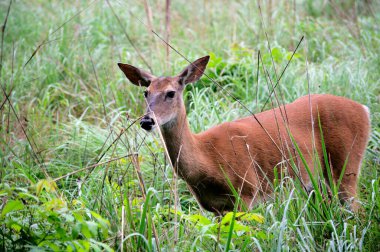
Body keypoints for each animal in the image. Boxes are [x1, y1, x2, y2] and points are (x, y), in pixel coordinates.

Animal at [117, 56, 370, 214]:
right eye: (146, 92)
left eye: (170, 93)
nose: (147, 121)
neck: (207, 161)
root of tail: (364, 109)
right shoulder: (214, 208)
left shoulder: (247, 191)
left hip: (346, 164)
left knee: (358, 209)